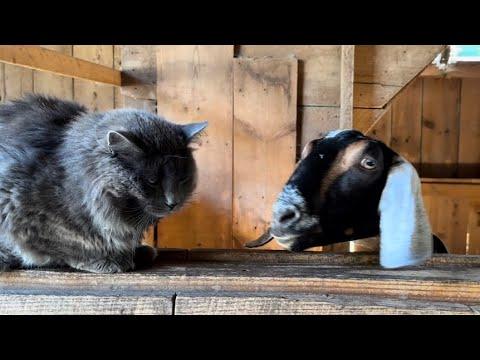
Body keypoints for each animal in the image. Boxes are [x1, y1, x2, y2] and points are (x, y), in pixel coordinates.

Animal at [0, 95, 206, 272]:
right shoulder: (18, 209)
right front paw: (106, 259)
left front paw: (135, 252)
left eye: (182, 179)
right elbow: (67, 243)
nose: (173, 202)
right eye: (152, 181)